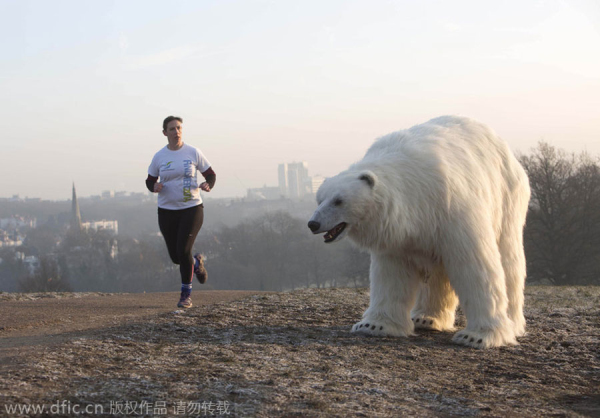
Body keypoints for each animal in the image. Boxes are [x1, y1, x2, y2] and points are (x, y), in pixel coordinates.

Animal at [310, 116, 528, 348]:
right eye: (319, 199)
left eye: (338, 200)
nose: (313, 224)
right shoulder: (398, 234)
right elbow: (392, 274)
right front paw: (373, 325)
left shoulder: (451, 209)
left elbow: (474, 264)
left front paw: (477, 336)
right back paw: (425, 318)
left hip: (507, 197)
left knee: (509, 259)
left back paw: (513, 323)